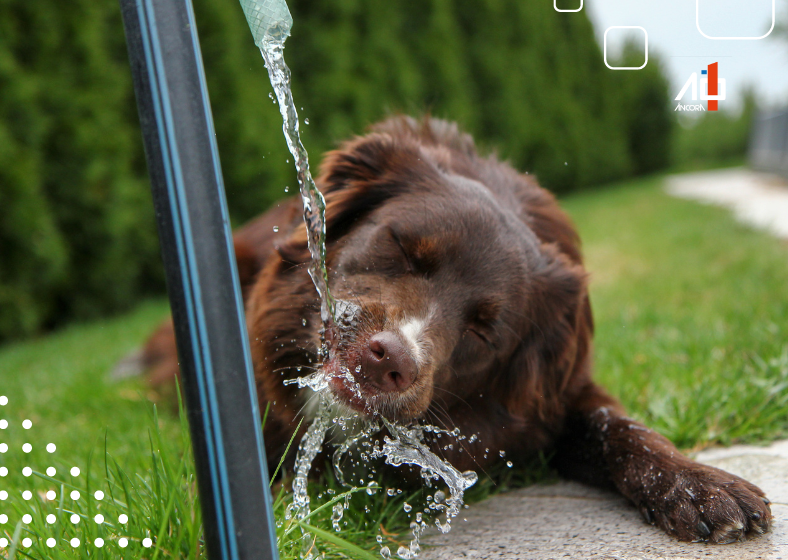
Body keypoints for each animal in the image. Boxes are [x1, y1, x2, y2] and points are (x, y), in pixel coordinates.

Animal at [142, 115, 768, 544]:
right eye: (401, 248)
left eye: (484, 331)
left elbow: (621, 426)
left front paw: (701, 484)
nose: (389, 361)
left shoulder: (560, 395)